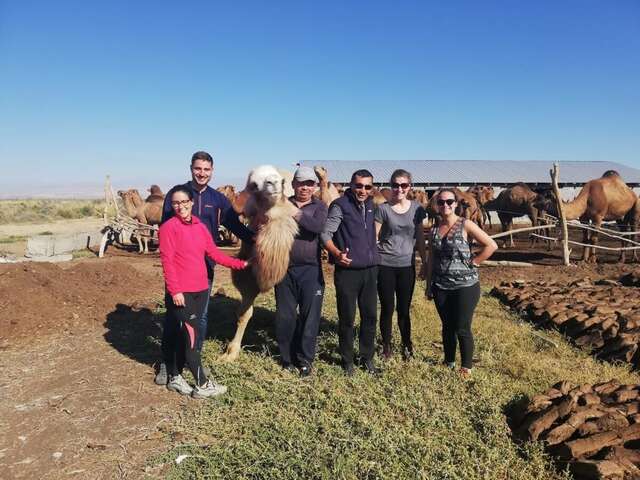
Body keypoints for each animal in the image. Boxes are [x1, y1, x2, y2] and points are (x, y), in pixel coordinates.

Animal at [220, 165, 300, 360]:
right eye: (254, 185)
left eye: (283, 181)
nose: (274, 182)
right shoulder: (247, 280)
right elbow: (244, 314)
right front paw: (231, 352)